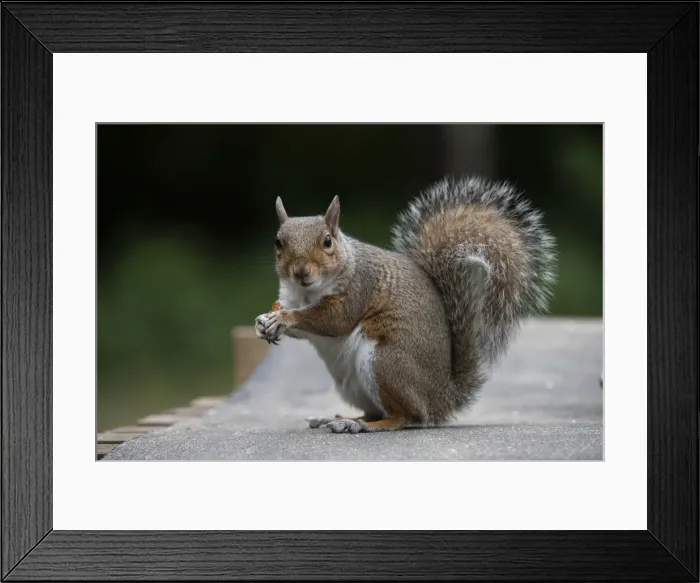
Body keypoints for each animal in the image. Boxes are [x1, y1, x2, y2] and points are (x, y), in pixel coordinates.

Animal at [254, 176, 557, 433]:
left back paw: (362, 426)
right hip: (353, 384)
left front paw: (285, 319)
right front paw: (263, 322)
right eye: (278, 242)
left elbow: (333, 319)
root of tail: (440, 398)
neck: (306, 293)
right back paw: (337, 419)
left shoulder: (358, 288)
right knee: (376, 411)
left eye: (327, 241)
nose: (300, 271)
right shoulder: (290, 296)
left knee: (402, 417)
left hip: (384, 363)